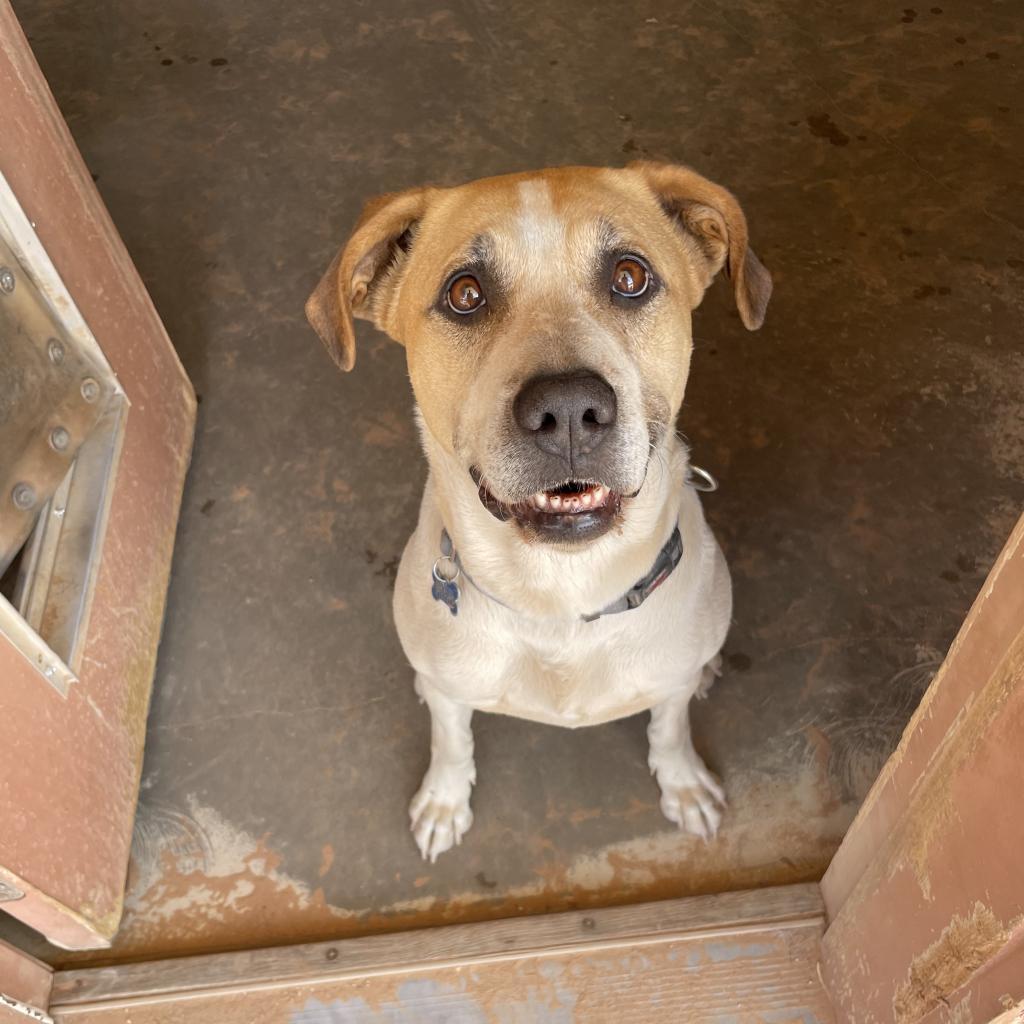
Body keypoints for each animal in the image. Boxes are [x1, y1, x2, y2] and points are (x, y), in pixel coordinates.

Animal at [307, 163, 770, 860]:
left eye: (630, 277)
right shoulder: (452, 693)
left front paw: (684, 784)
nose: (570, 409)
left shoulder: (668, 686)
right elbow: (451, 740)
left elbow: (669, 728)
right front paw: (444, 802)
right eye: (464, 293)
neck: (561, 602)